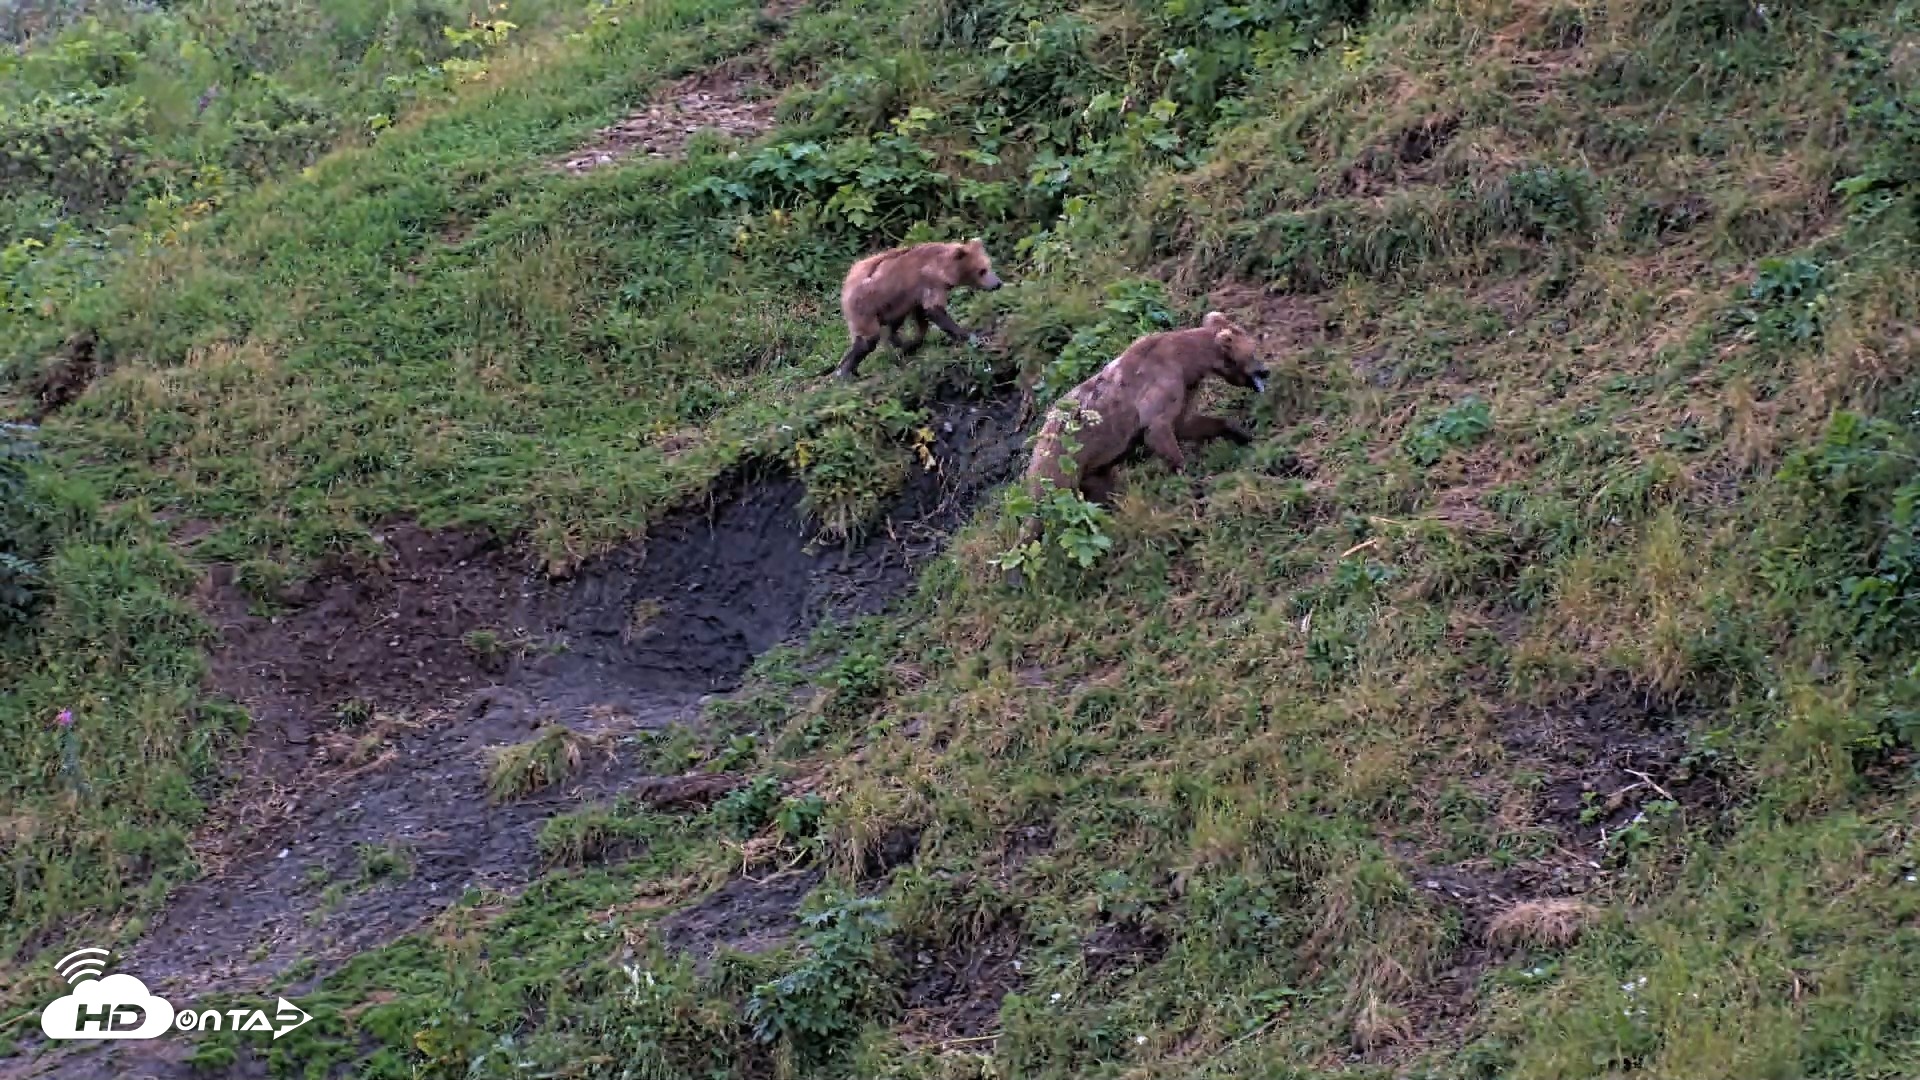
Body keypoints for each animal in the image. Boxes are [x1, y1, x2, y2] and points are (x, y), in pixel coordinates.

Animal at [834, 239, 1004, 380]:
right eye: (982, 270)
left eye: (989, 265)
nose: (998, 283)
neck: (943, 269)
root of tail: (846, 284)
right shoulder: (930, 284)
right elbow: (934, 311)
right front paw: (972, 335)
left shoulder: (915, 296)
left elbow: (922, 320)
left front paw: (912, 343)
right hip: (864, 307)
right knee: (868, 340)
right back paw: (846, 372)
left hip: (890, 305)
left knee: (887, 328)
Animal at [1015, 310, 1268, 552]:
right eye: (1253, 352)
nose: (1266, 370)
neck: (1188, 362)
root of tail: (1038, 438)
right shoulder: (1159, 388)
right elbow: (1159, 432)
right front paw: (1191, 480)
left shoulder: (1185, 389)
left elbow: (1186, 424)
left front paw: (1242, 434)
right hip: (1059, 463)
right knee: (1040, 512)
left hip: (1092, 469)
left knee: (1100, 493)